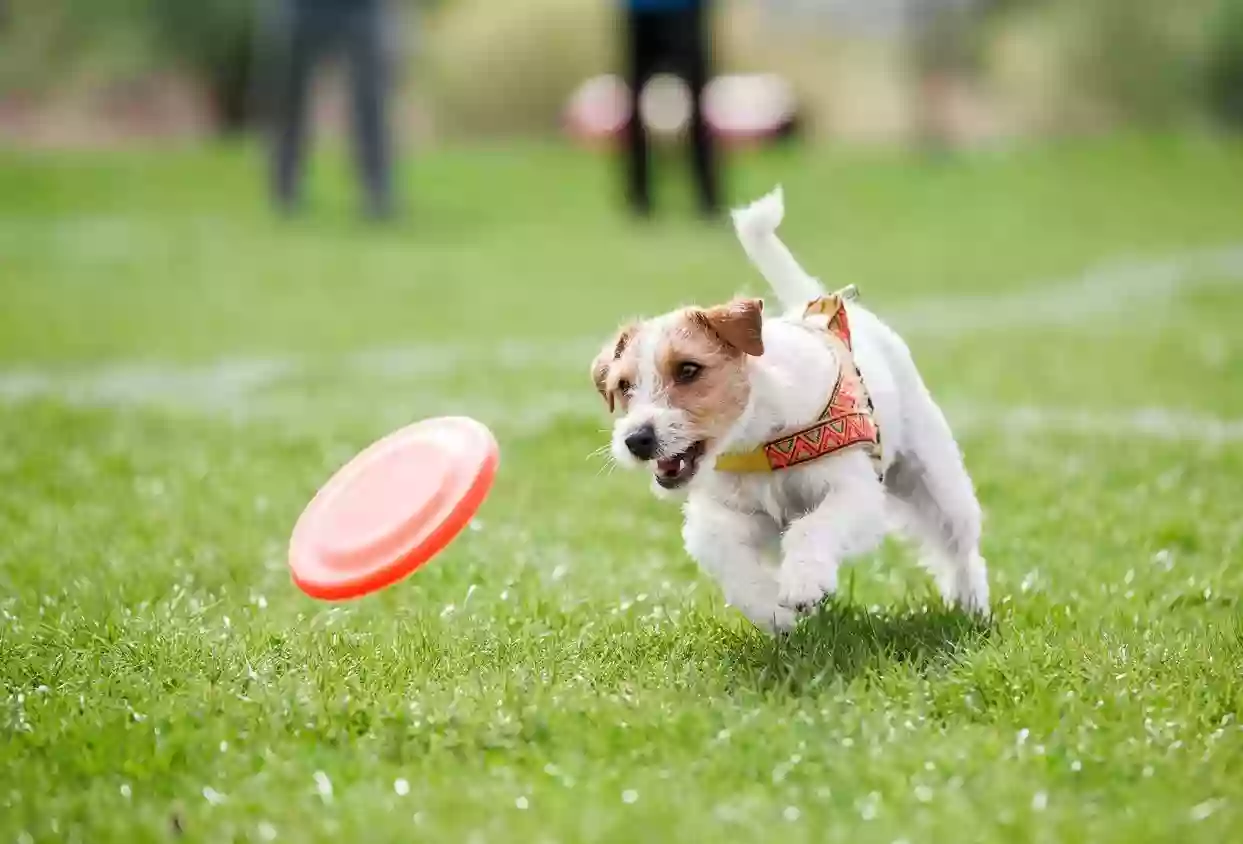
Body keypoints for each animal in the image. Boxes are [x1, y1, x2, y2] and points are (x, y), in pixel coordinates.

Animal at [591, 186, 989, 633]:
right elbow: (724, 552)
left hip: (937, 479)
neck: (758, 438)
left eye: (689, 369)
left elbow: (812, 526)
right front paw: (771, 609)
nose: (636, 440)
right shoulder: (721, 516)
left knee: (960, 545)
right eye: (623, 386)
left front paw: (803, 584)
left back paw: (972, 605)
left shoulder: (856, 492)